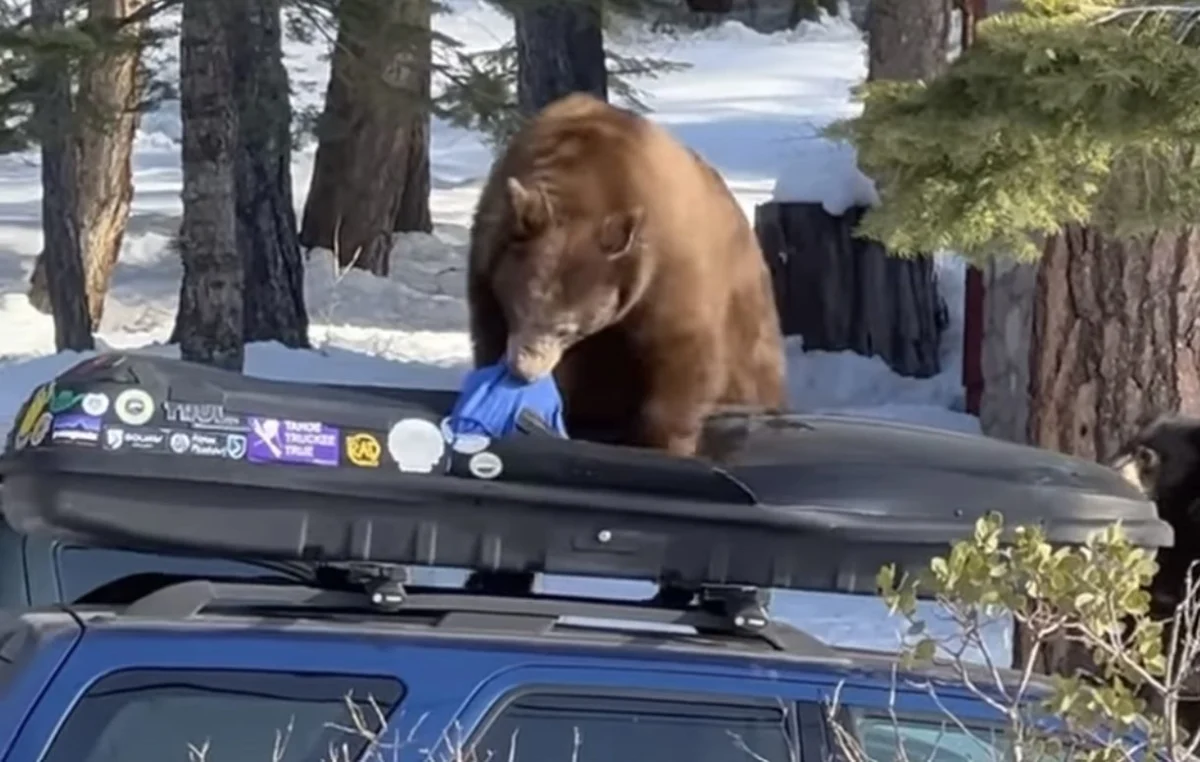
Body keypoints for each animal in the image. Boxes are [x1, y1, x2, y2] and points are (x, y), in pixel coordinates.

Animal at [465, 92, 786, 457]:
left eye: (566, 328)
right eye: (519, 309)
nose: (524, 371)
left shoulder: (666, 269)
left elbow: (683, 355)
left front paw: (664, 440)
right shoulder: (488, 256)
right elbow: (489, 332)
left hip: (750, 339)